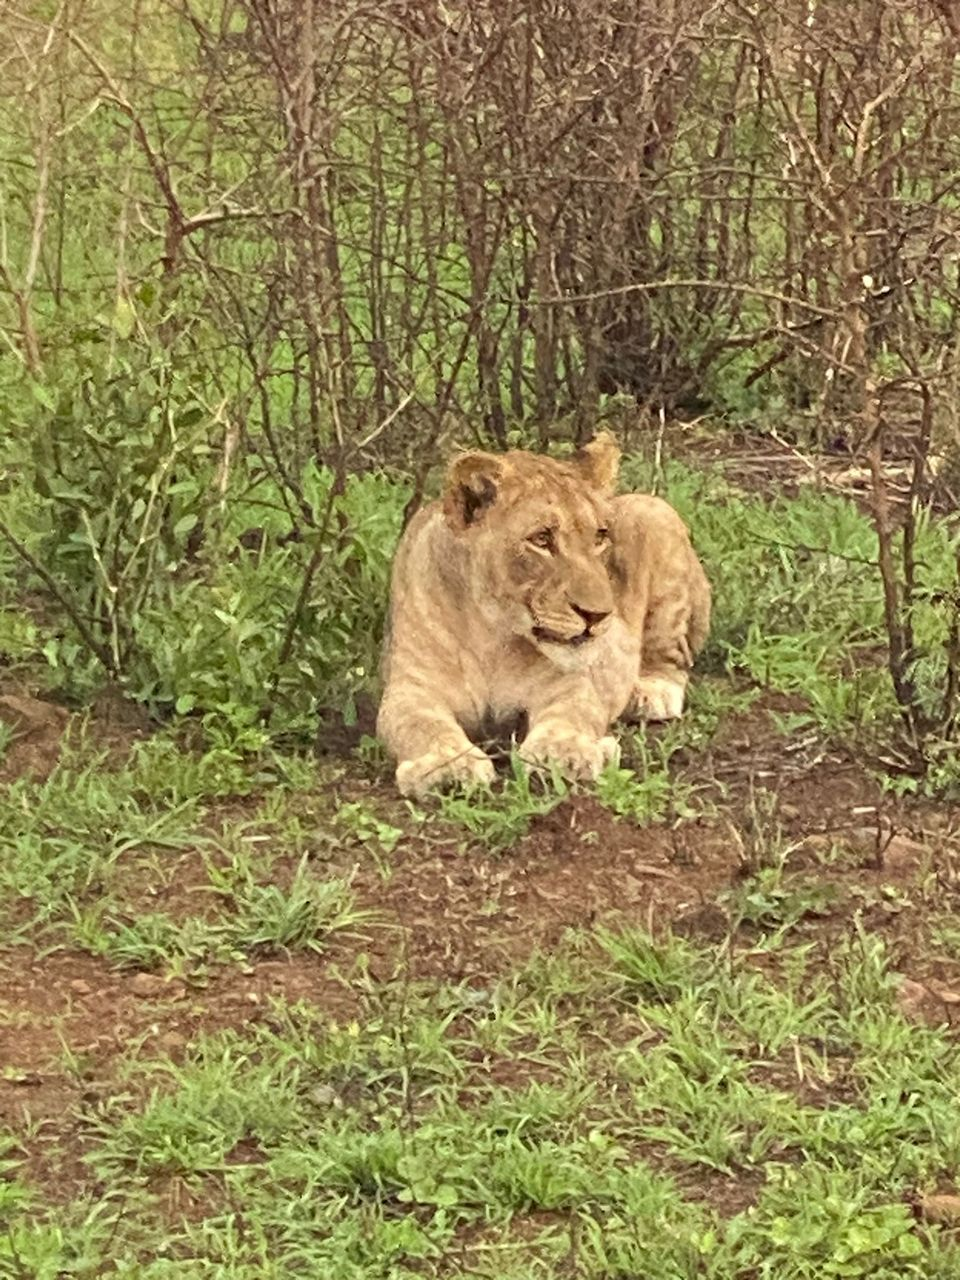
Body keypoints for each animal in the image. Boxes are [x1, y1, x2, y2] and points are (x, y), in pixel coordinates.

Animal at [377, 431, 711, 798]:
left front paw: (564, 754)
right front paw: (448, 766)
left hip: (652, 512)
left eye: (599, 537)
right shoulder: (411, 690)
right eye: (541, 539)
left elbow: (570, 715)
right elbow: (421, 725)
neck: (491, 635)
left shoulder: (572, 683)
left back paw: (650, 692)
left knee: (671, 656)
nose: (597, 615)